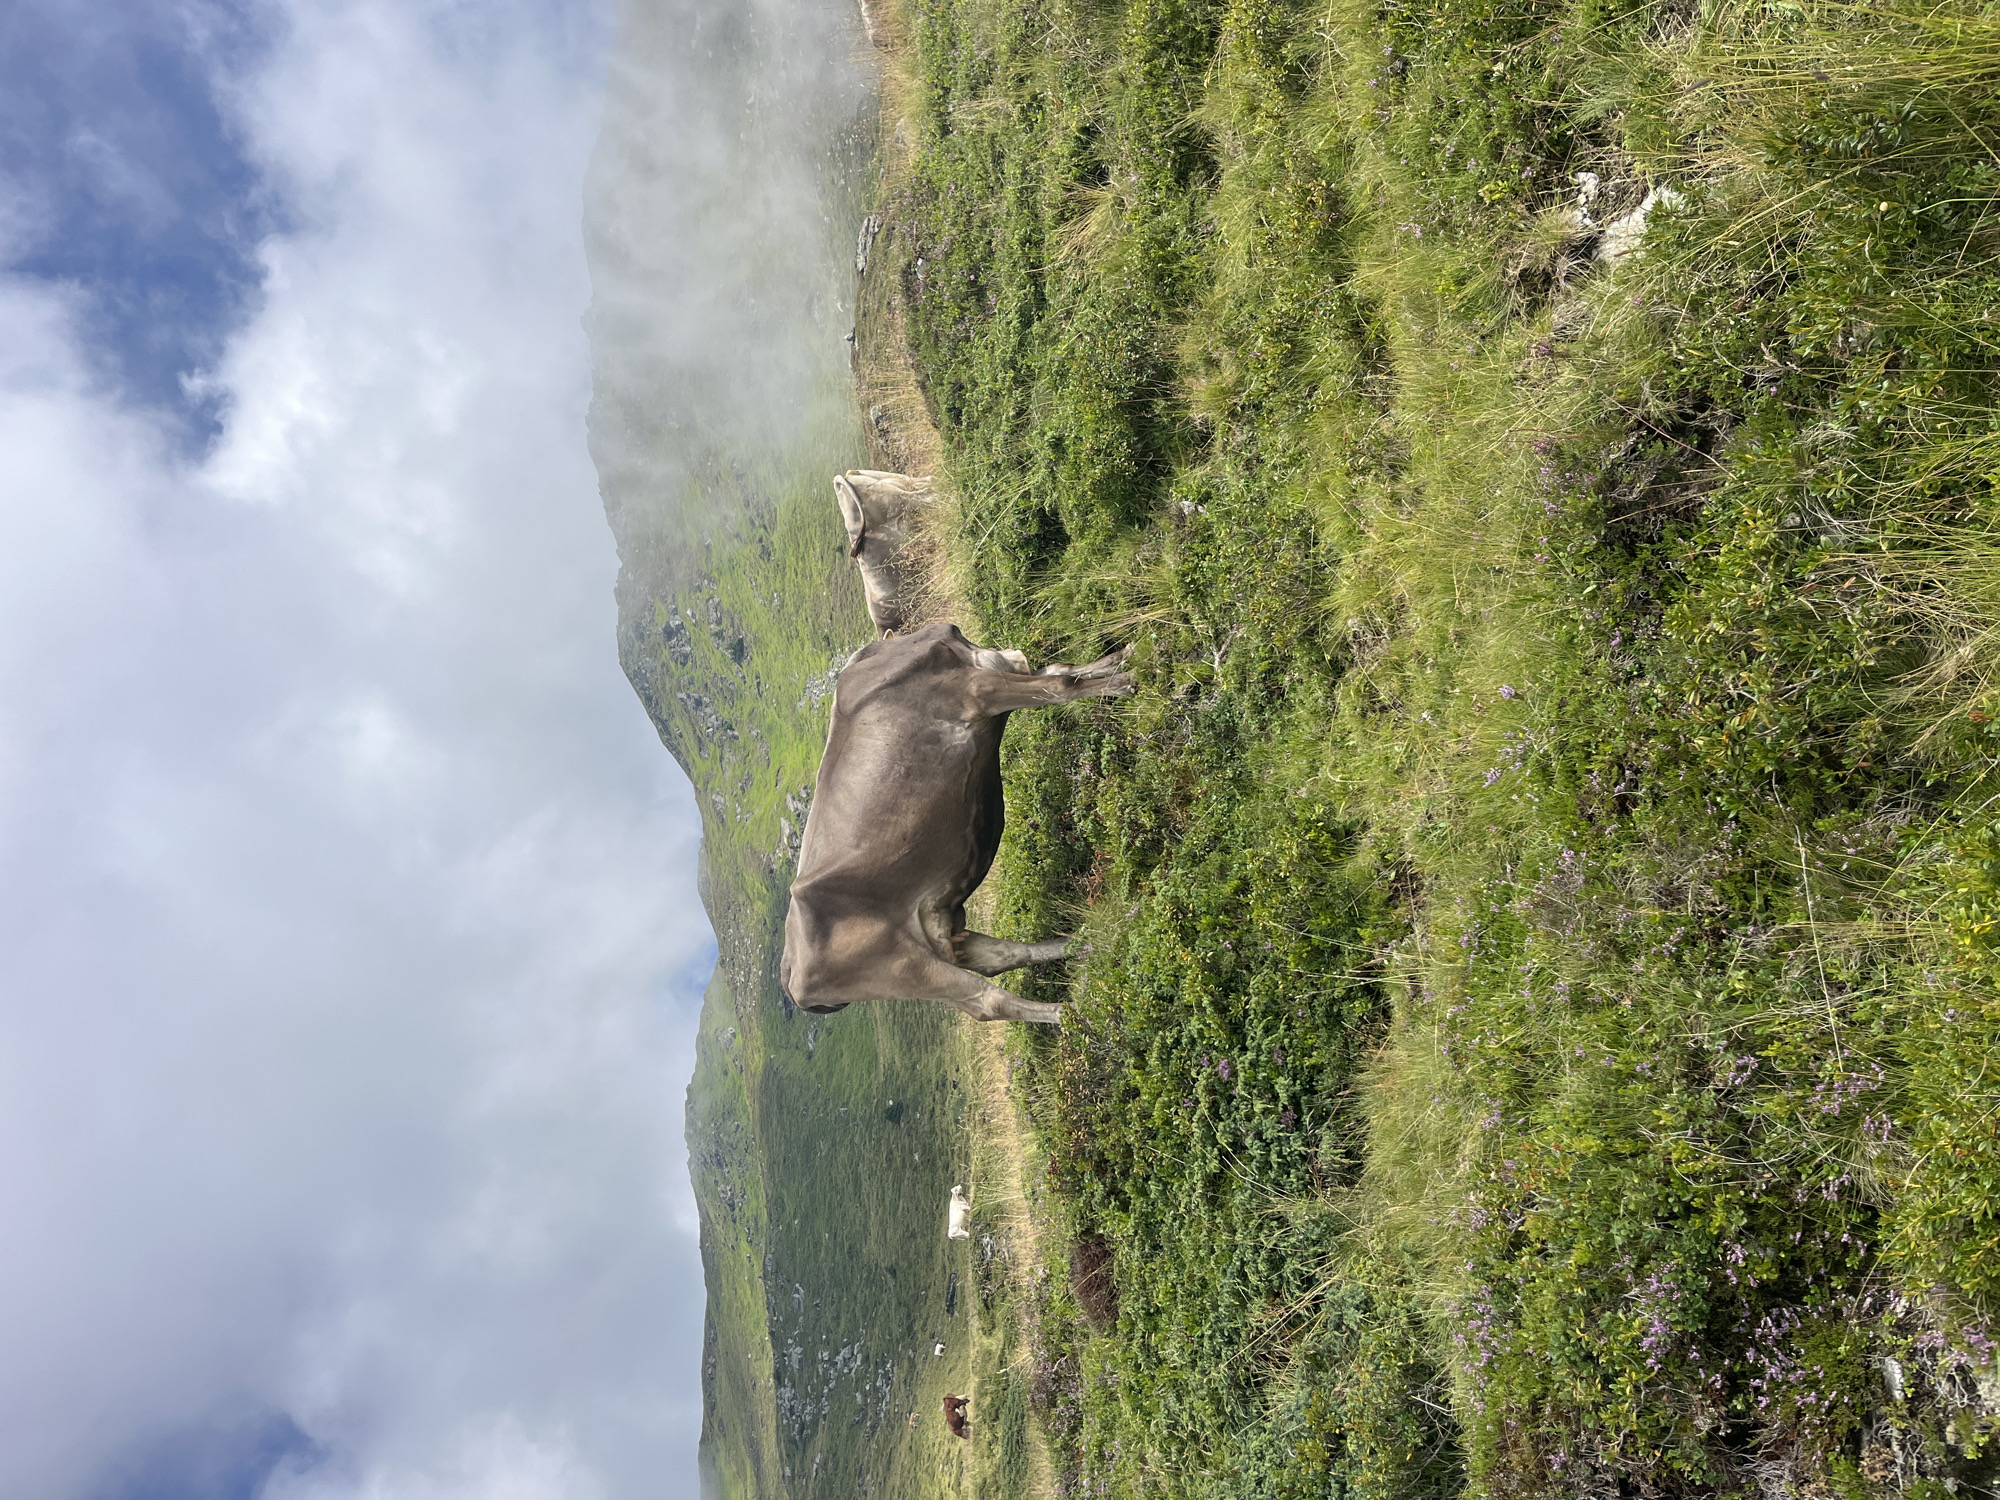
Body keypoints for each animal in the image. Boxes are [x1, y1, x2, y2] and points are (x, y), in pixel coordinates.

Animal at [779, 622, 1133, 1024]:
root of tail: (792, 976)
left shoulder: (999, 664)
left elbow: (1062, 669)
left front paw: (1122, 657)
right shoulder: (978, 691)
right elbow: (1061, 685)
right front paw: (1126, 682)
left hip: (937, 931)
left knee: (1002, 958)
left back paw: (1086, 941)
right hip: (903, 966)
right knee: (987, 1002)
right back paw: (1078, 1014)